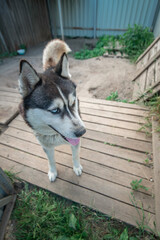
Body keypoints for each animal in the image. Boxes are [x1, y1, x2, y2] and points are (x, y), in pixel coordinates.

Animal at [18, 39, 86, 182]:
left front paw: (77, 167)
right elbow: (51, 161)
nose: (82, 132)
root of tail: (50, 68)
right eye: (55, 110)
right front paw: (53, 172)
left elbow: (75, 155)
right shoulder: (46, 147)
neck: (55, 136)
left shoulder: (75, 141)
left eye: (72, 103)